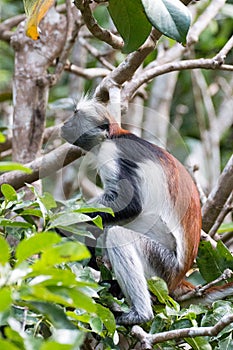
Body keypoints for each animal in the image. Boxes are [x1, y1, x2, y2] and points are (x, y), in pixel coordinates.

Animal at [61, 97, 202, 324]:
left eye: (75, 115)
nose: (64, 125)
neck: (114, 135)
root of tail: (179, 276)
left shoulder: (112, 152)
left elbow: (132, 205)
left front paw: (62, 216)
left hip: (163, 264)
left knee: (117, 234)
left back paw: (140, 314)